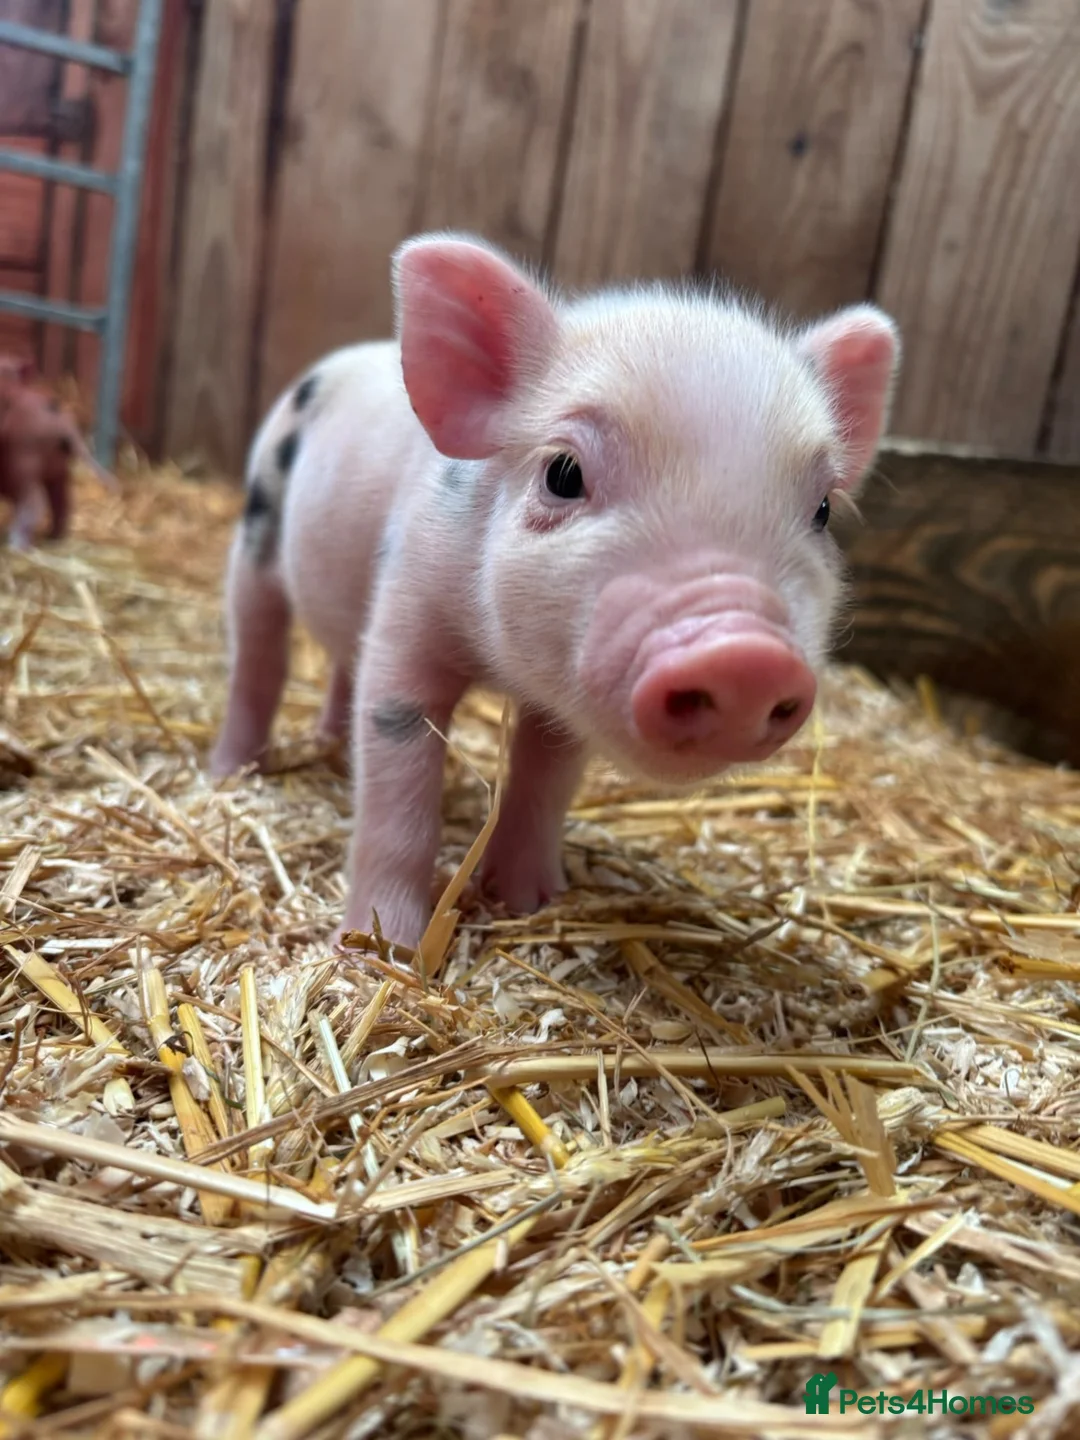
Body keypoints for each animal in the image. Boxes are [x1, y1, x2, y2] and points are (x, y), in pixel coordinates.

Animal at [211, 233, 899, 949]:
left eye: (822, 510)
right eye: (563, 474)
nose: (745, 656)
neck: (498, 665)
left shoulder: (561, 707)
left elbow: (544, 780)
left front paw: (526, 903)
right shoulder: (407, 609)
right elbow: (398, 788)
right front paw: (381, 947)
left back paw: (331, 746)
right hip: (257, 526)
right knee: (259, 654)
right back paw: (231, 772)